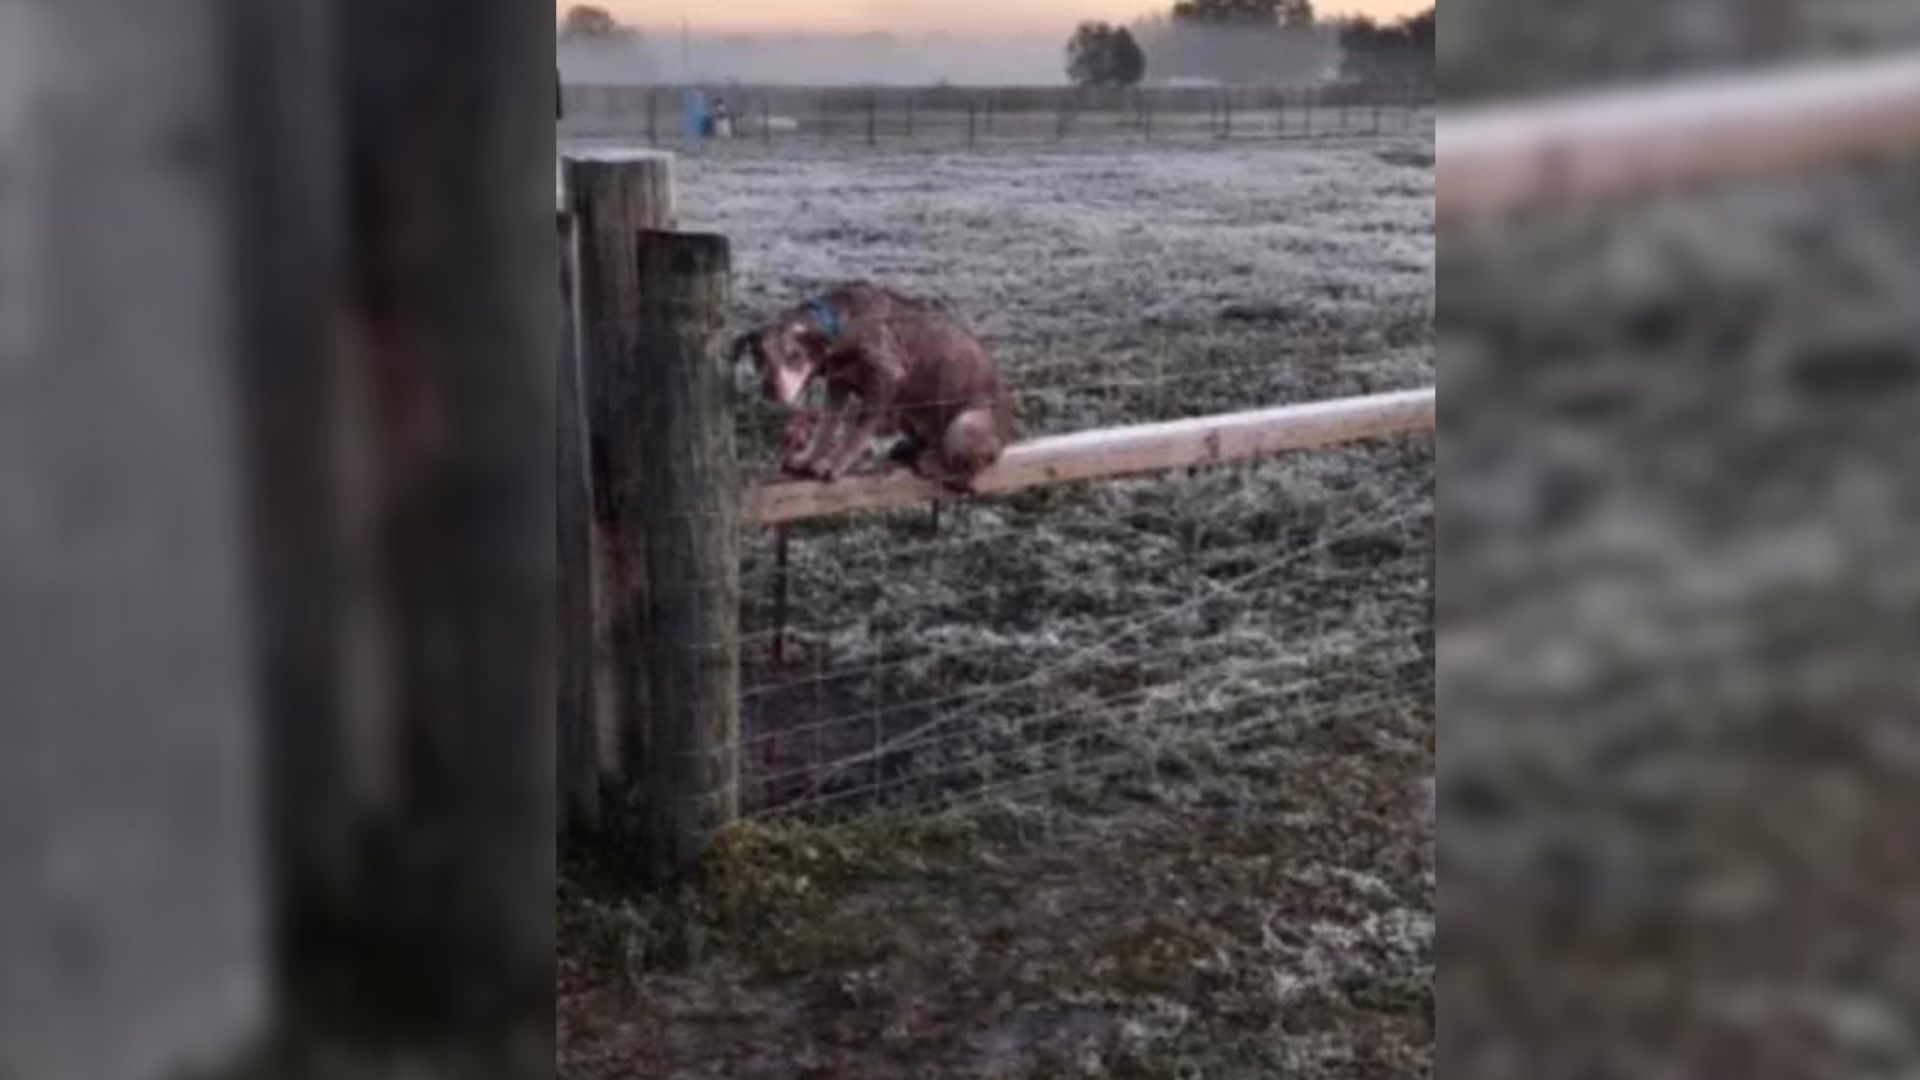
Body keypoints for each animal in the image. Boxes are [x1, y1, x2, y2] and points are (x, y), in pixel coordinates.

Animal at [725, 282, 1013, 491]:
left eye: (795, 355)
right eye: (758, 355)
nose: (770, 388)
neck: (841, 326)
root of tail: (1006, 436)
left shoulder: (885, 378)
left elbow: (857, 432)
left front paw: (835, 466)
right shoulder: (838, 384)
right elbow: (826, 427)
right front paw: (809, 458)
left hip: (965, 423)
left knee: (966, 475)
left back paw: (934, 463)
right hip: (906, 413)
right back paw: (911, 450)